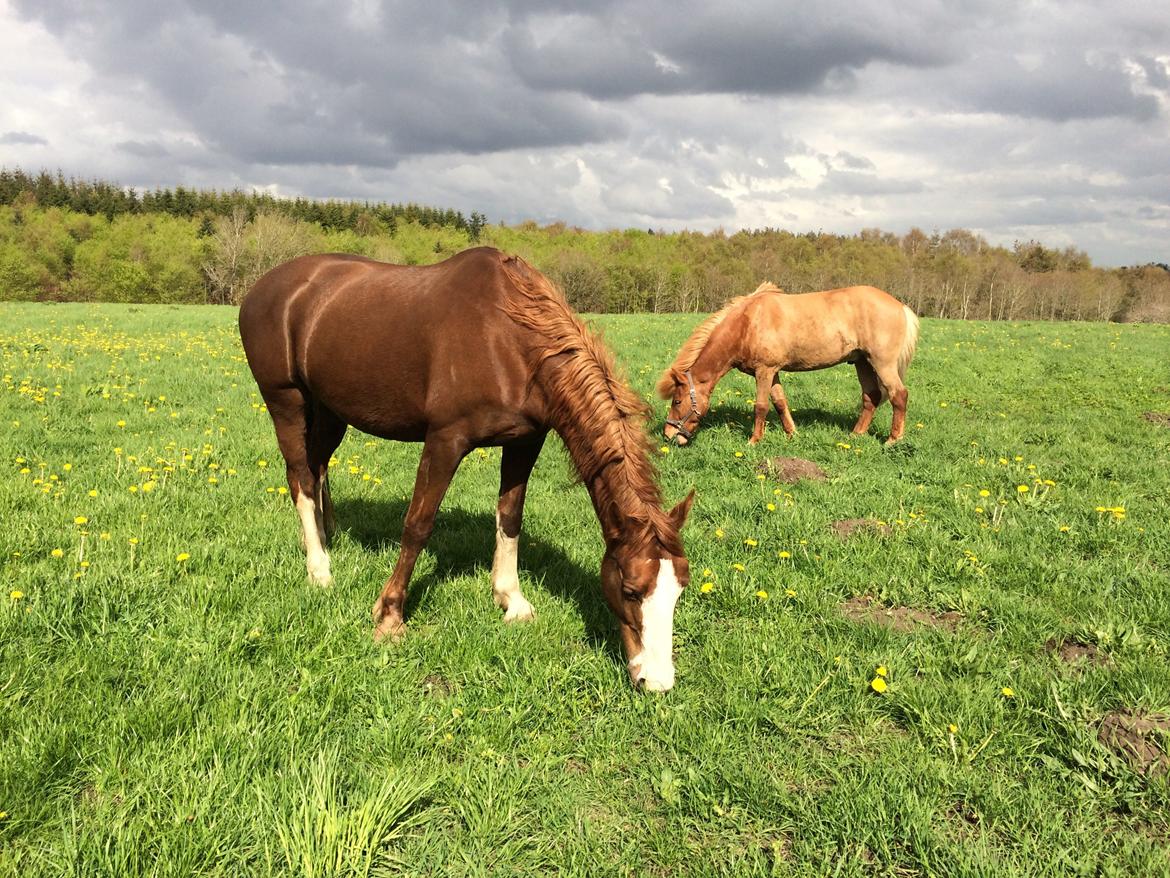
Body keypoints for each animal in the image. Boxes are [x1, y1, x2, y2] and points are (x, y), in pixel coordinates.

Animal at [239, 248, 692, 693]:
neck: (511, 341)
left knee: (317, 466)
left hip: (330, 409)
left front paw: (511, 599)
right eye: (631, 590)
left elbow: (510, 517)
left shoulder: (525, 441)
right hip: (285, 402)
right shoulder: (445, 440)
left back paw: (322, 538)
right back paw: (319, 569)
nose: (657, 682)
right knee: (300, 476)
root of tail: (261, 288)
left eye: (679, 591)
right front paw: (389, 617)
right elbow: (418, 524)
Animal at [659, 282, 921, 447]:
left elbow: (761, 406)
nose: (668, 434)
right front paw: (792, 434)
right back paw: (855, 435)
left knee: (899, 395)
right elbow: (780, 402)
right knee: (871, 397)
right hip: (862, 362)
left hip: (882, 364)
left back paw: (893, 440)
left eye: (677, 401)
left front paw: (754, 441)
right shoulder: (772, 372)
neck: (747, 324)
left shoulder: (764, 371)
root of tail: (901, 306)